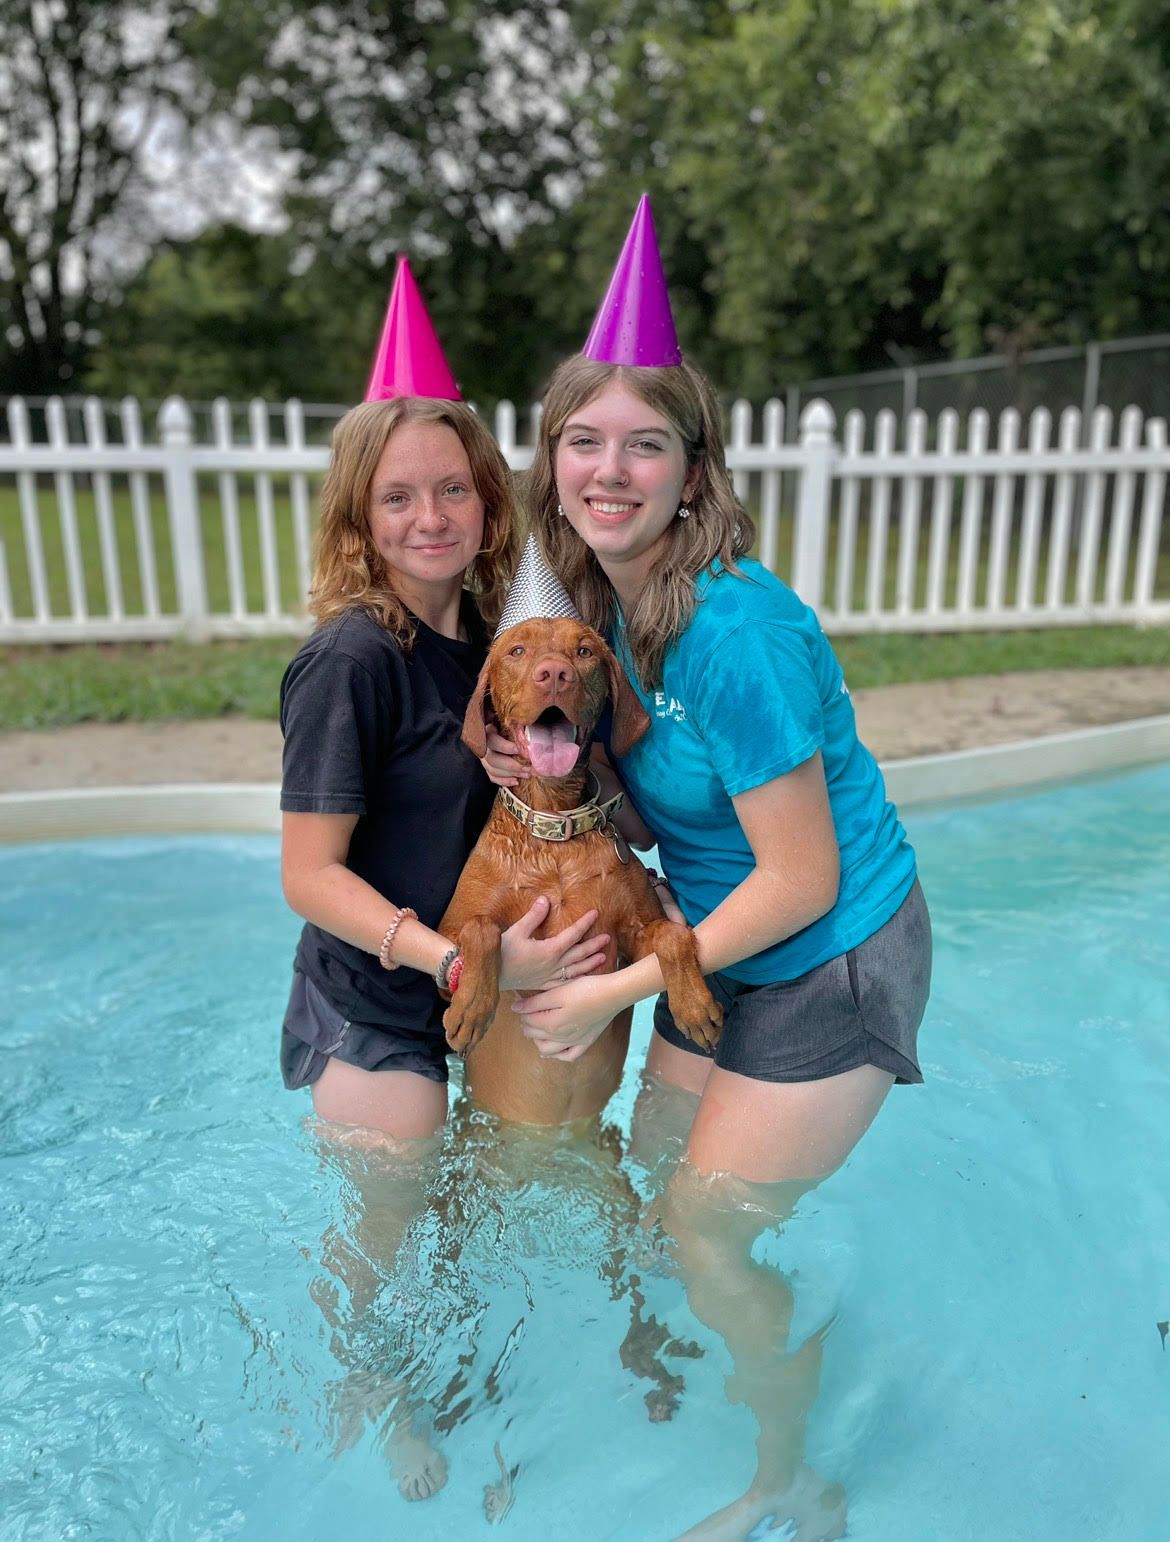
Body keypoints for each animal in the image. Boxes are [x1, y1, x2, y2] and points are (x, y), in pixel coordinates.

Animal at [439, 615, 722, 1126]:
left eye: (585, 651)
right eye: (516, 651)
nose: (554, 673)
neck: (556, 832)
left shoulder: (633, 937)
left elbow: (673, 936)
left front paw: (695, 1006)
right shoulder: (448, 927)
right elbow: (480, 929)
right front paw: (470, 1007)